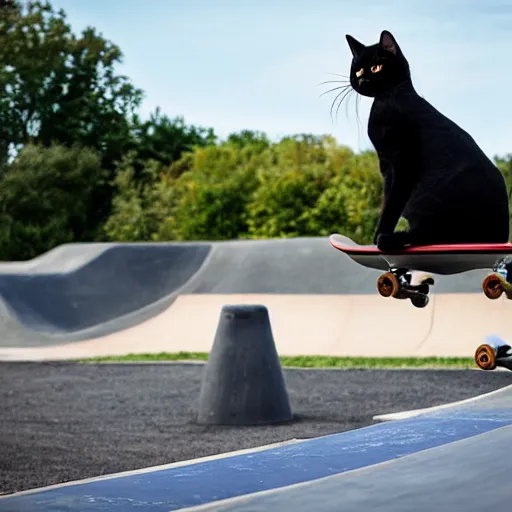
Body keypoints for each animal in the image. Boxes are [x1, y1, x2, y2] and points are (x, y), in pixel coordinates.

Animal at [344, 30, 508, 250]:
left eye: (376, 67)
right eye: (359, 71)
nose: (361, 81)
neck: (385, 102)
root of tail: (502, 235)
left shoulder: (403, 164)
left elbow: (391, 206)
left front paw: (379, 235)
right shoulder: (386, 167)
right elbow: (386, 202)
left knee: (436, 235)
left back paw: (390, 239)